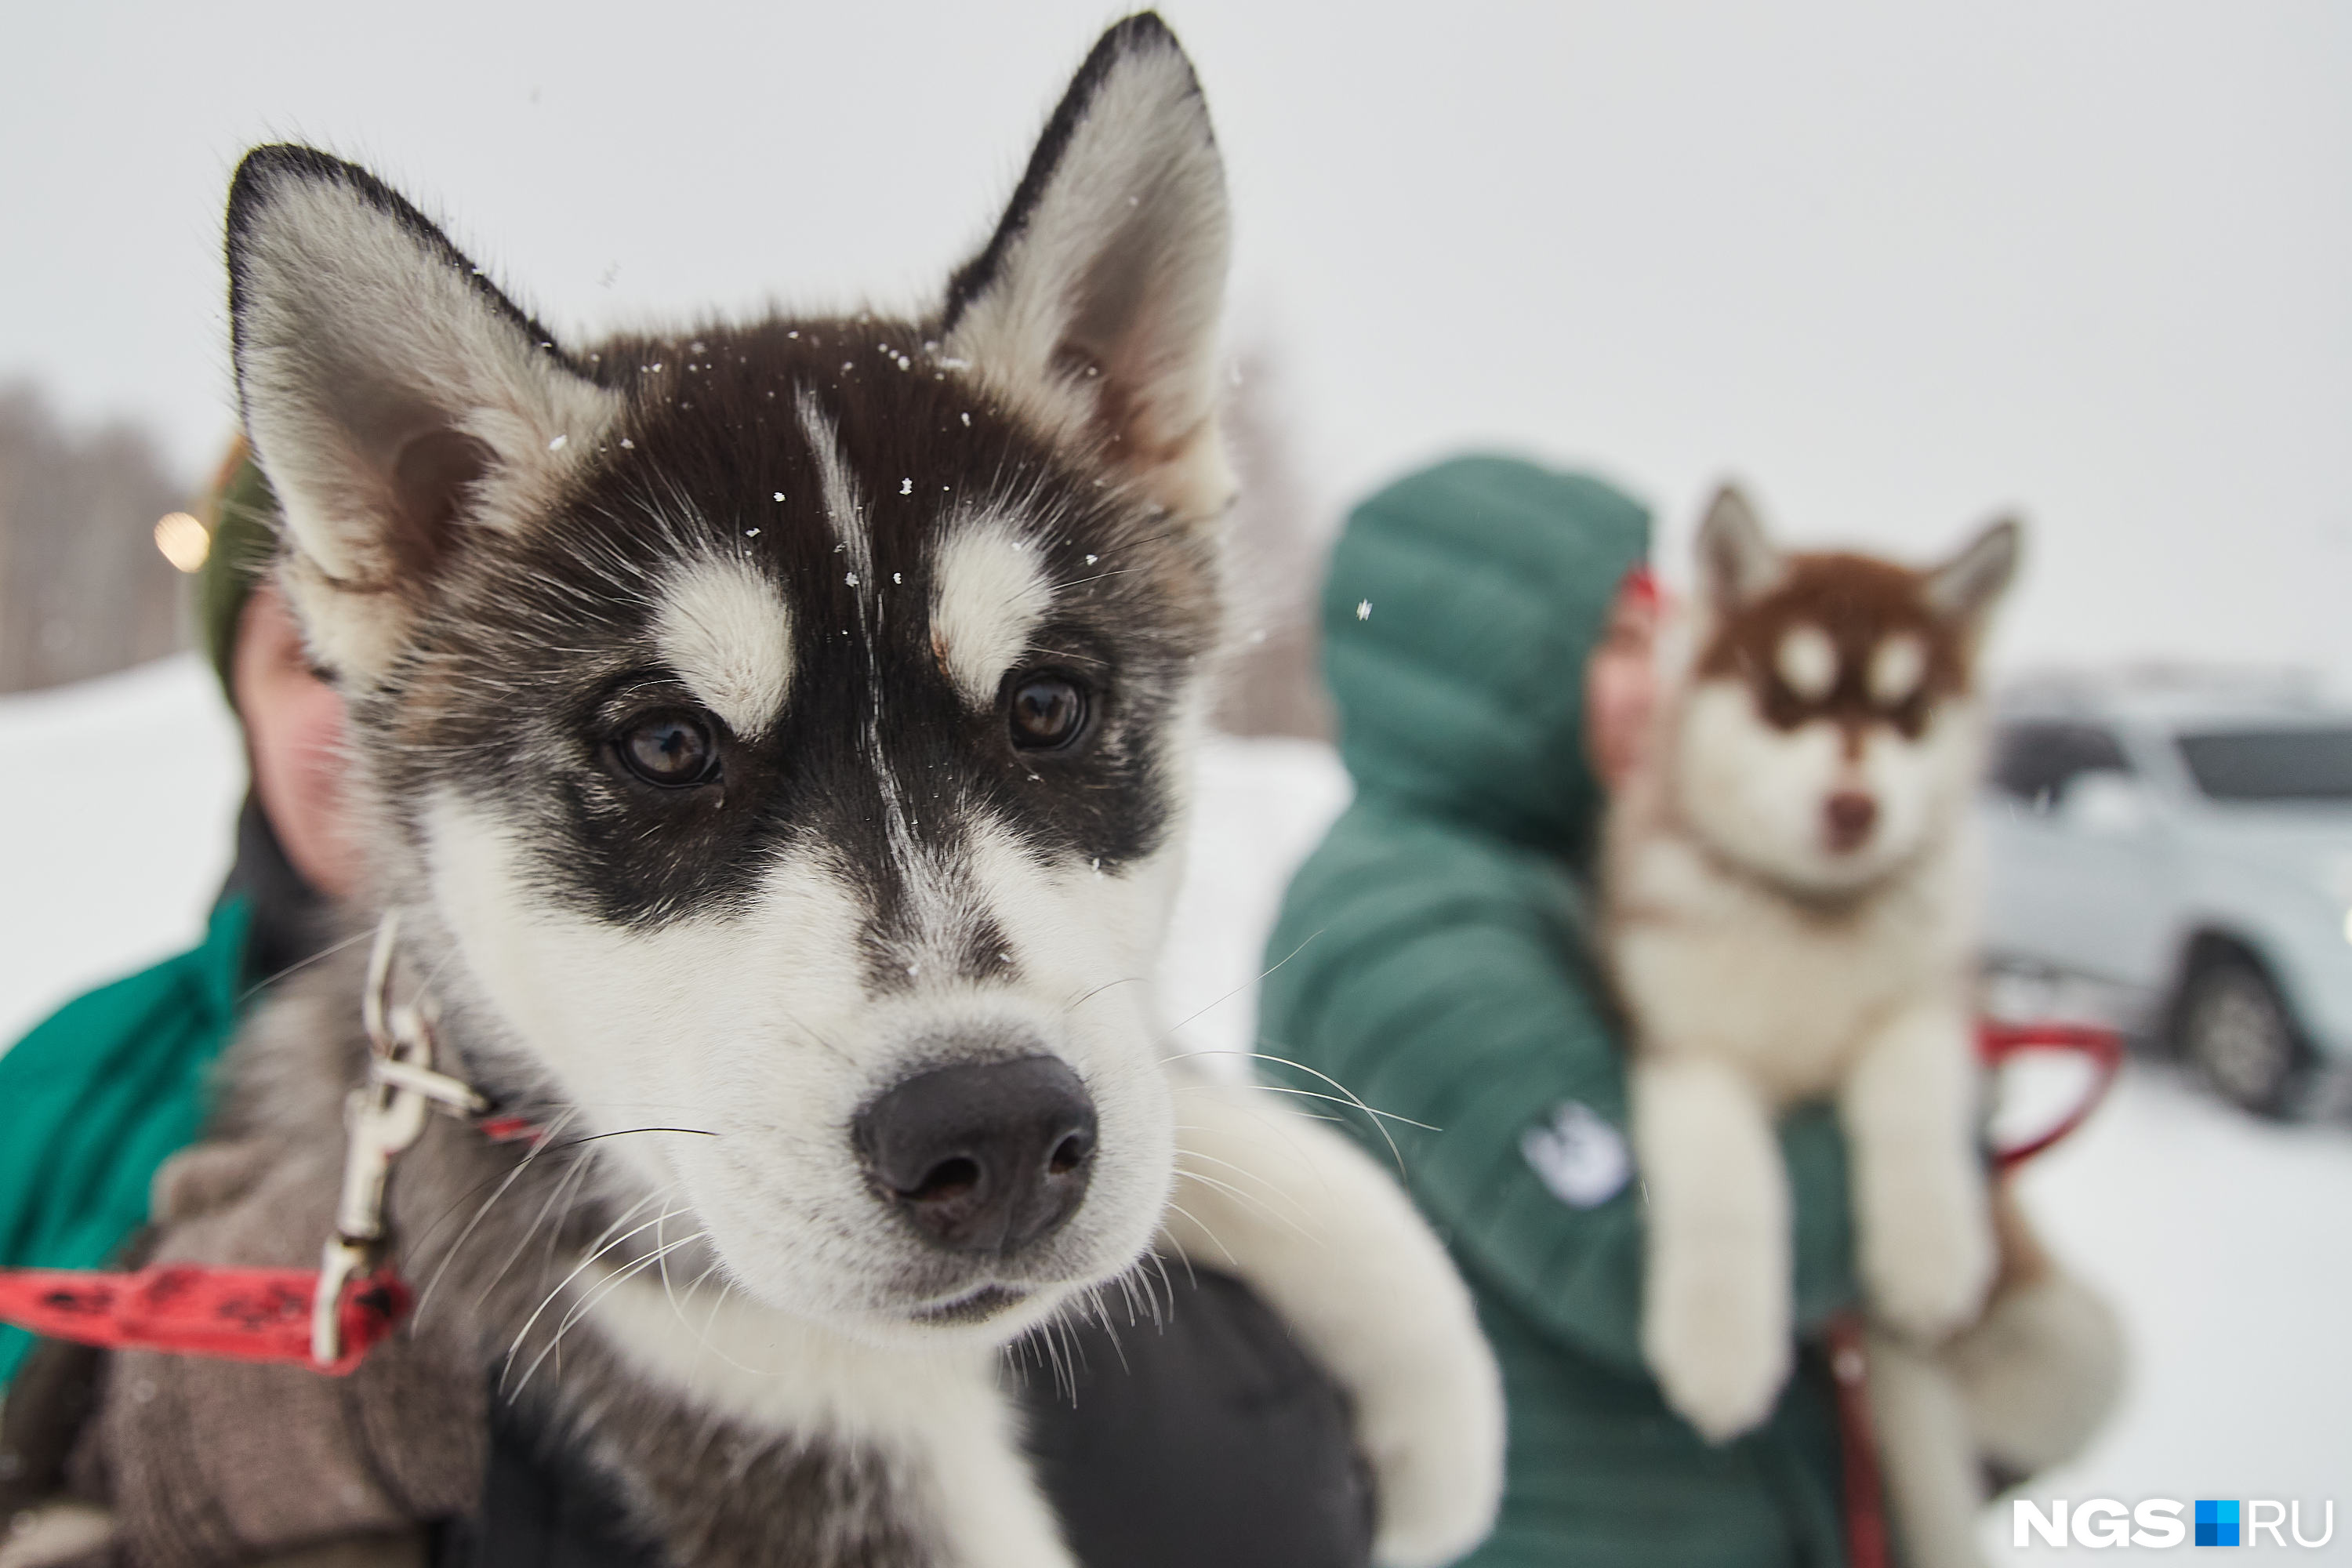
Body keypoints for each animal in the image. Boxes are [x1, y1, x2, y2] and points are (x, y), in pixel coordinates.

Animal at [114, 15, 1505, 1568]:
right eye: (668, 747)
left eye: (1048, 707)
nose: (993, 1131)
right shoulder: (732, 1394)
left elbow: (1233, 1127)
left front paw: (1438, 1397)